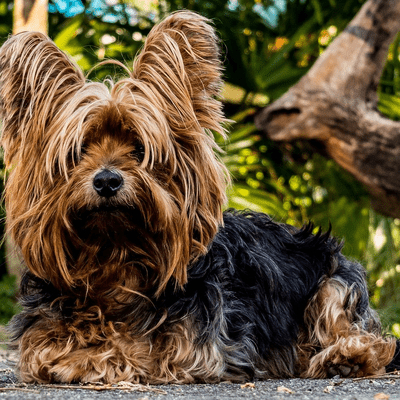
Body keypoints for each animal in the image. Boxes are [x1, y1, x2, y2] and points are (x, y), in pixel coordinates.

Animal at [0, 10, 400, 382]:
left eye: (139, 149)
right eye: (79, 151)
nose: (107, 180)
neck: (115, 257)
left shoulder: (192, 349)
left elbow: (134, 348)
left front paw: (97, 356)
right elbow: (47, 349)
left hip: (335, 279)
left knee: (364, 334)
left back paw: (345, 357)